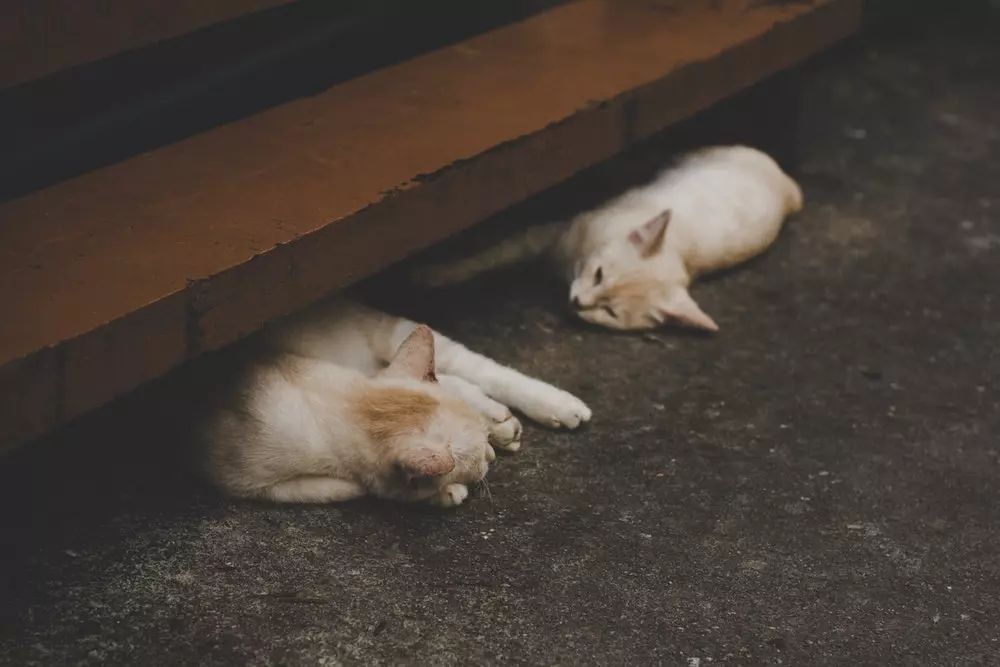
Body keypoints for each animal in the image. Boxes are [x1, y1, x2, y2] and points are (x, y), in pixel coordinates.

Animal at [206, 298, 588, 506]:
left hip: (391, 336)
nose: (489, 456)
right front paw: (446, 491)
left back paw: (558, 406)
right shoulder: (246, 479)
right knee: (453, 380)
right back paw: (499, 421)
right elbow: (350, 487)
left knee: (478, 368)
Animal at [416, 147, 804, 334]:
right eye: (599, 274)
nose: (577, 303)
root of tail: (786, 181)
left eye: (610, 312)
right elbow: (497, 252)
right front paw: (437, 273)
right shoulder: (551, 233)